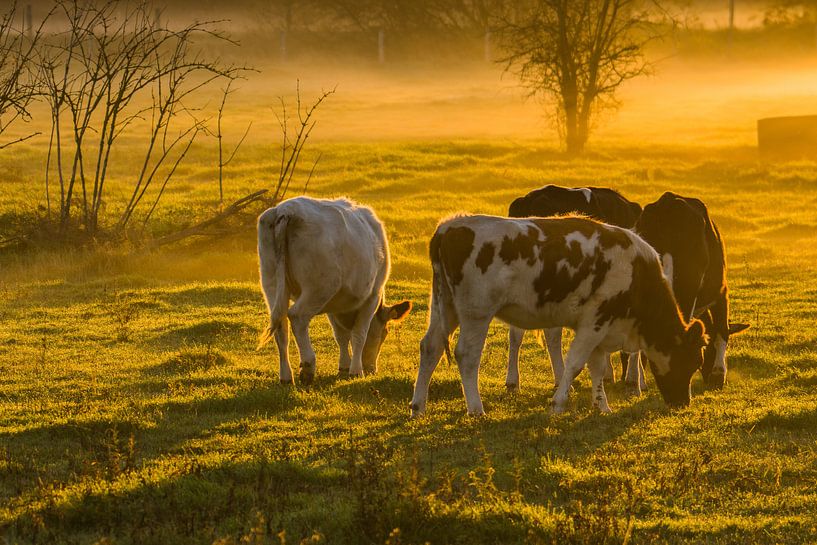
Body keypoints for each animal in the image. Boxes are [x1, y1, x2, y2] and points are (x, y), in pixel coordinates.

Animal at [257, 197, 412, 385]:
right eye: (384, 333)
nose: (371, 369)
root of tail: (286, 210)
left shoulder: (334, 304)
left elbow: (341, 336)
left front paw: (344, 366)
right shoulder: (372, 297)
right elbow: (359, 334)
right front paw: (356, 370)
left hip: (272, 283)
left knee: (281, 324)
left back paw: (286, 376)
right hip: (319, 287)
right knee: (297, 317)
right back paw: (308, 366)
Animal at [409, 214, 708, 417]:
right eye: (693, 362)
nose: (683, 403)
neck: (636, 272)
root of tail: (450, 227)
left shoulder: (600, 326)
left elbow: (596, 367)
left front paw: (602, 406)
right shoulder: (594, 322)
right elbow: (575, 364)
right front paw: (558, 403)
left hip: (444, 307)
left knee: (430, 347)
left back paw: (418, 406)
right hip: (476, 313)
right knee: (467, 355)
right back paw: (475, 408)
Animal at [629, 192, 749, 392]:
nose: (709, 380)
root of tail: (667, 203)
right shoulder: (722, 292)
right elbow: (722, 331)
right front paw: (719, 374)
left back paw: (633, 383)